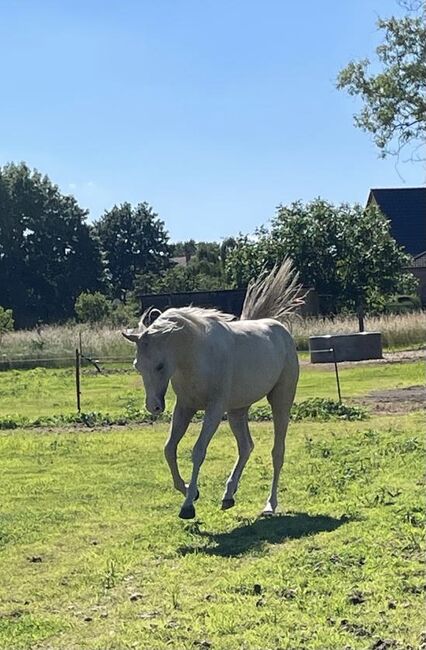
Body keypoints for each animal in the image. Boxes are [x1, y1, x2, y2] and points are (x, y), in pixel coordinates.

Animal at [121, 258, 304, 516]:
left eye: (160, 365)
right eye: (137, 365)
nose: (153, 407)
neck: (196, 357)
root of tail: (280, 329)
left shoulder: (214, 410)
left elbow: (198, 451)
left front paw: (188, 505)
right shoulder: (184, 408)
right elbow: (169, 449)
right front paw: (190, 490)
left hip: (280, 402)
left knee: (277, 452)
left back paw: (270, 505)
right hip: (237, 411)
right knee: (246, 447)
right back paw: (228, 495)